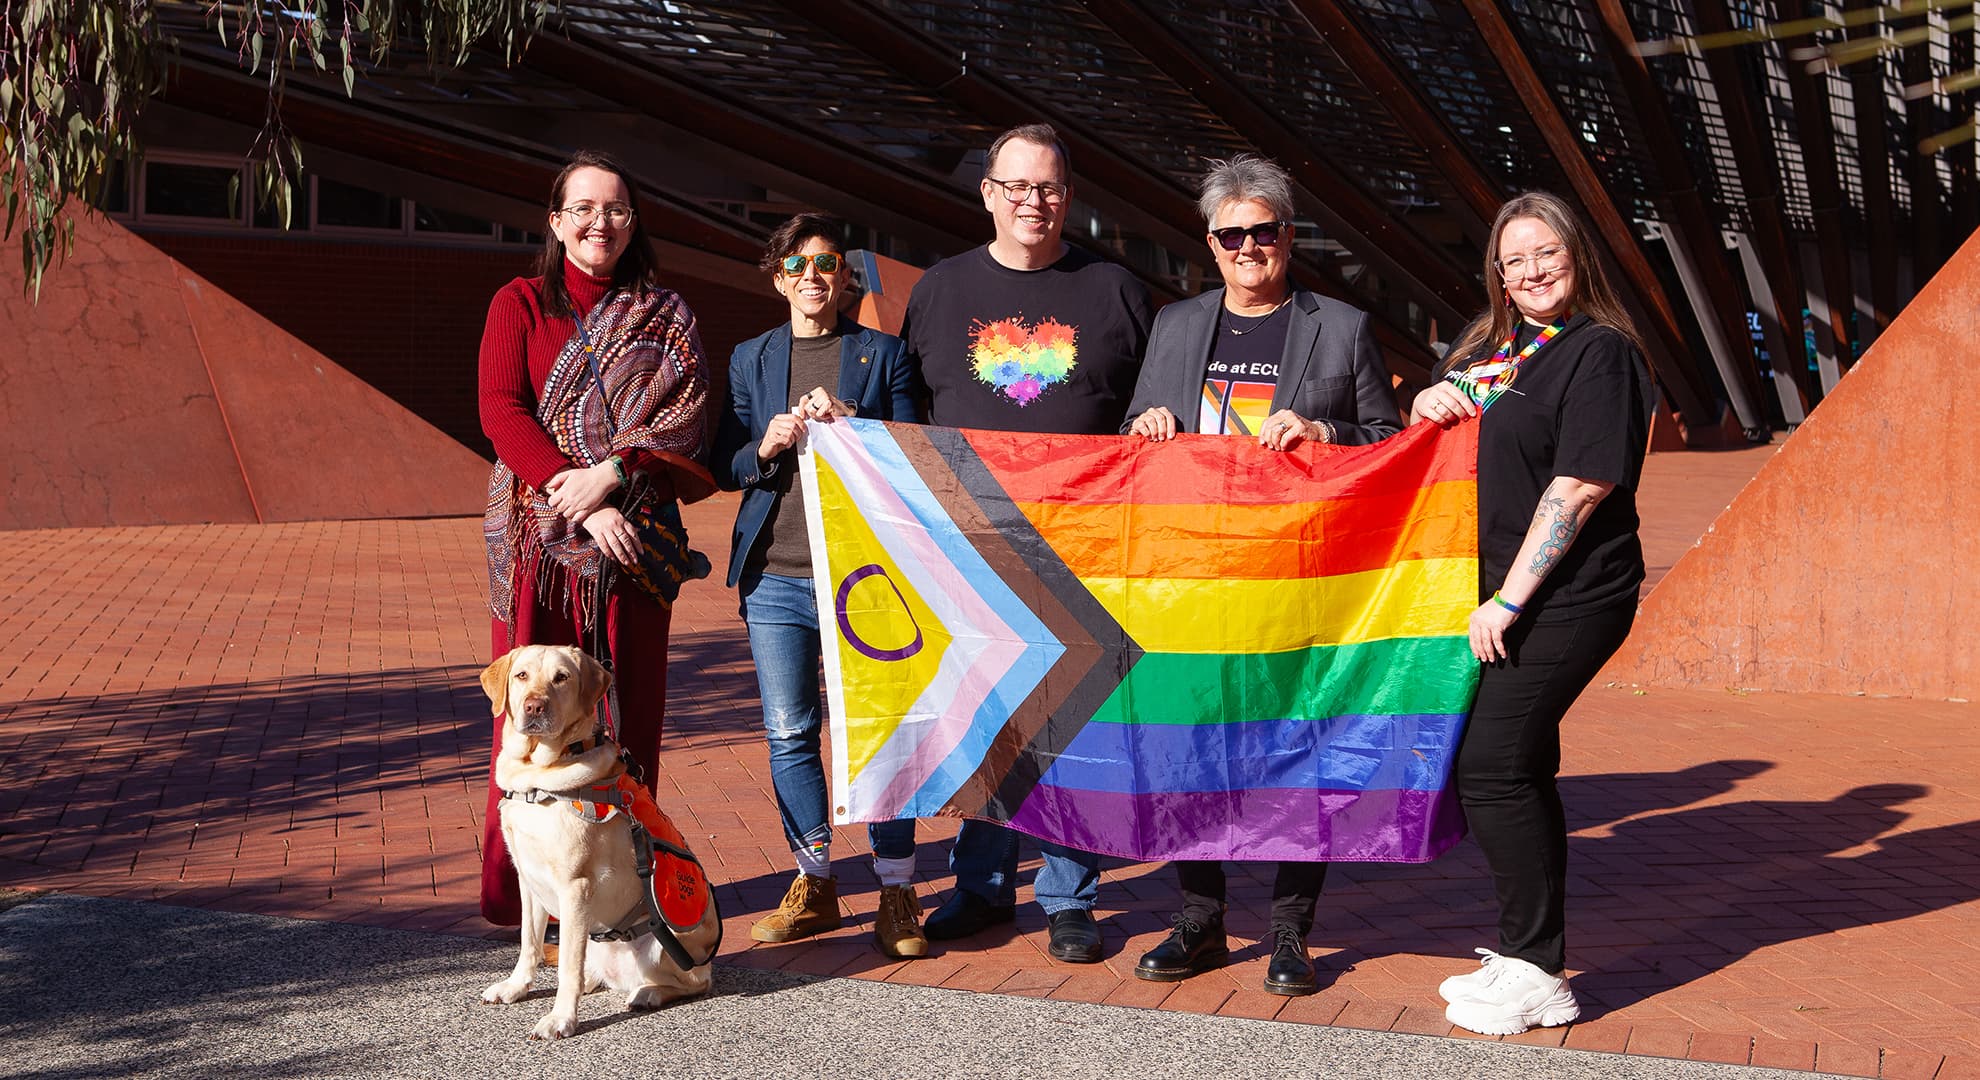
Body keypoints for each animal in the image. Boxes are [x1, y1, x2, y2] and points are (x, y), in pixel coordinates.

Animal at [479, 646, 720, 1038]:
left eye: (561, 678)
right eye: (521, 676)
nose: (534, 706)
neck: (537, 776)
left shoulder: (575, 887)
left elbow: (565, 969)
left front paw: (560, 1019)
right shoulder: (527, 880)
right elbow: (529, 943)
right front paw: (516, 987)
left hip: (664, 941)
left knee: (696, 983)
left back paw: (648, 993)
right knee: (586, 970)